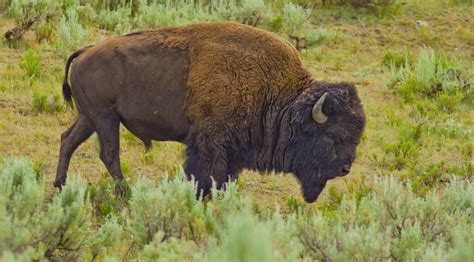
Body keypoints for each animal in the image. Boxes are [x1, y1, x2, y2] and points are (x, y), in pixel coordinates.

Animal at [55, 22, 366, 203]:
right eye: (331, 136)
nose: (345, 169)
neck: (278, 97)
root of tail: (85, 51)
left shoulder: (234, 150)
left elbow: (225, 177)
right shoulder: (210, 141)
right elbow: (207, 173)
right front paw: (201, 197)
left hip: (89, 117)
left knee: (67, 140)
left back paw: (60, 185)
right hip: (105, 117)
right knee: (109, 154)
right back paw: (125, 193)